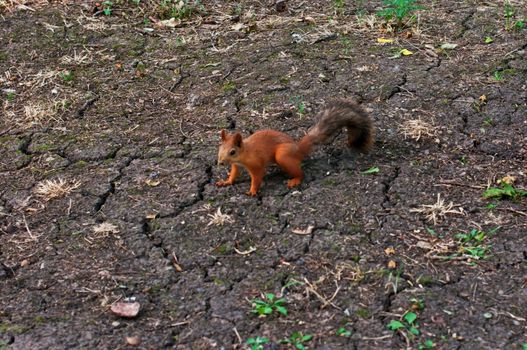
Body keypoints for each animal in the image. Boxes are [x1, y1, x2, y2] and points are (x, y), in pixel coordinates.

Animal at [216, 100, 376, 196]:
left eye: (232, 152)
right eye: (219, 149)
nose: (220, 163)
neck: (244, 153)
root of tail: (299, 148)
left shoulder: (256, 164)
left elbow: (257, 177)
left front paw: (253, 190)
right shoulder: (236, 165)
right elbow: (234, 174)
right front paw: (226, 182)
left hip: (283, 155)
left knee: (300, 173)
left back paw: (295, 180)